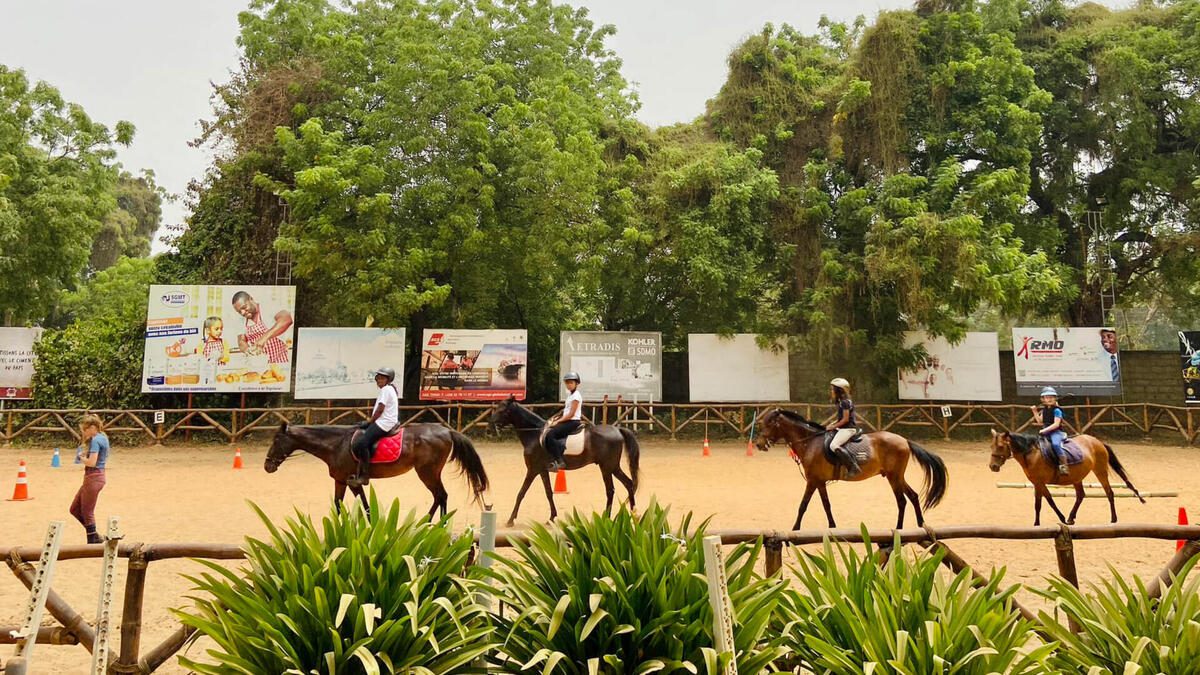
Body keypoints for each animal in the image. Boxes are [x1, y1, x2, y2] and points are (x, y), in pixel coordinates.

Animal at [265, 420, 489, 514]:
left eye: (276, 440)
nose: (267, 466)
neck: (336, 444)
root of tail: (447, 431)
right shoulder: (341, 481)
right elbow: (341, 504)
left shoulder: (353, 482)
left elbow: (363, 506)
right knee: (439, 497)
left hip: (427, 473)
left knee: (441, 496)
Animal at [487, 393, 643, 526]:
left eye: (502, 410)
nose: (489, 428)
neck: (534, 435)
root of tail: (617, 430)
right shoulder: (542, 470)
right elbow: (549, 493)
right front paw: (551, 517)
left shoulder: (532, 469)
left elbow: (521, 493)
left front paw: (510, 520)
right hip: (611, 467)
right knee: (628, 484)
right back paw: (632, 515)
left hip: (607, 467)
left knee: (612, 490)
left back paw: (610, 517)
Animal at [748, 408, 945, 528]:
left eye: (768, 424)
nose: (758, 444)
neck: (810, 442)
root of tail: (904, 440)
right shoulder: (820, 482)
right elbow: (826, 505)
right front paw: (832, 526)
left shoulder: (812, 481)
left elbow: (803, 505)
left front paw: (795, 529)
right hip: (896, 476)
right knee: (913, 496)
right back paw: (920, 525)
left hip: (893, 477)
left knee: (902, 501)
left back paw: (899, 529)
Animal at [988, 425, 1147, 526]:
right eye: (991, 446)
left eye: (1001, 446)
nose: (993, 467)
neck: (1031, 453)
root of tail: (1098, 441)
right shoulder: (1036, 483)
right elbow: (1041, 503)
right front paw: (1039, 523)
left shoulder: (1040, 482)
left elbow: (1047, 502)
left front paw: (1058, 519)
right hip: (1077, 477)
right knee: (1081, 495)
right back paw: (1071, 518)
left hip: (1100, 471)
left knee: (1109, 493)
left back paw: (1113, 519)